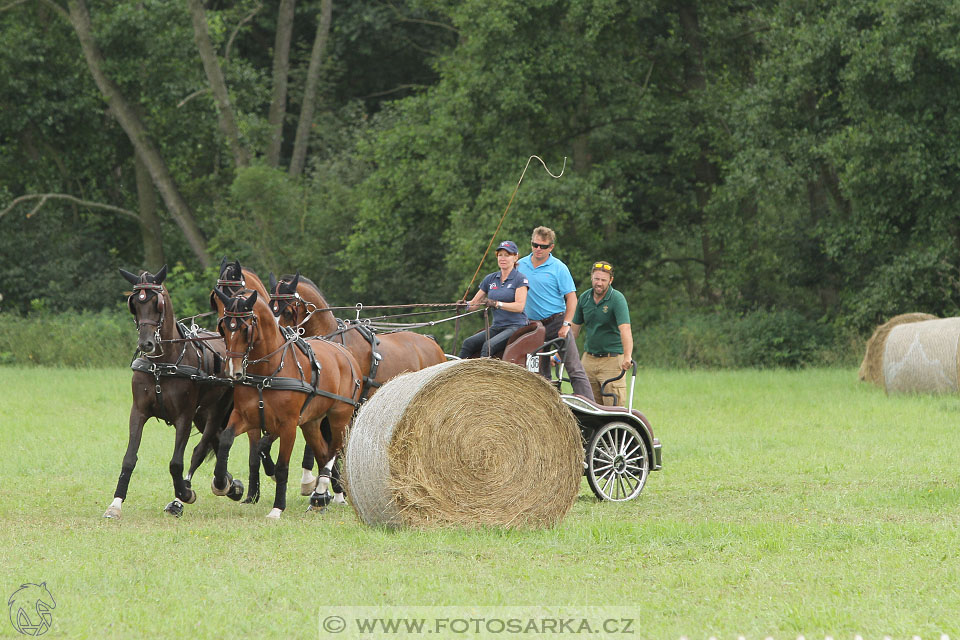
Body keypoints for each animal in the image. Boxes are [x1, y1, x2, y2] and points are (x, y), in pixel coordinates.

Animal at [105, 264, 238, 520]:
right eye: (134, 303)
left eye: (157, 303)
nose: (146, 344)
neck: (162, 364)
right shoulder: (138, 412)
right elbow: (129, 458)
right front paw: (115, 504)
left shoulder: (184, 417)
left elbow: (176, 462)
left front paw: (184, 493)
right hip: (201, 415)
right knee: (216, 443)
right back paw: (229, 483)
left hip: (216, 409)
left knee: (200, 449)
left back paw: (189, 493)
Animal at [212, 288, 362, 516]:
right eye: (224, 327)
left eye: (245, 328)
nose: (232, 370)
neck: (267, 373)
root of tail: (345, 353)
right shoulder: (245, 417)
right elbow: (227, 440)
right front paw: (222, 483)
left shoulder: (289, 425)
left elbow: (283, 466)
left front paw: (277, 508)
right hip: (311, 422)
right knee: (322, 452)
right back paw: (320, 497)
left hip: (339, 416)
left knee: (335, 451)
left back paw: (324, 489)